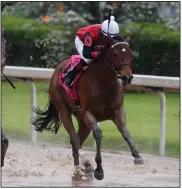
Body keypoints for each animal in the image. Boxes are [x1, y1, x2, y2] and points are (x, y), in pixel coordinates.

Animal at [32, 34, 144, 181]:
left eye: (130, 53)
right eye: (115, 54)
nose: (127, 77)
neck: (104, 84)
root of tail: (57, 69)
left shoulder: (118, 111)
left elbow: (125, 132)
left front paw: (137, 156)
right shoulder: (88, 113)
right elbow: (98, 134)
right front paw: (99, 169)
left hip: (82, 121)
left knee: (77, 142)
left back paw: (80, 169)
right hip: (63, 108)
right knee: (74, 140)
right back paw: (84, 165)